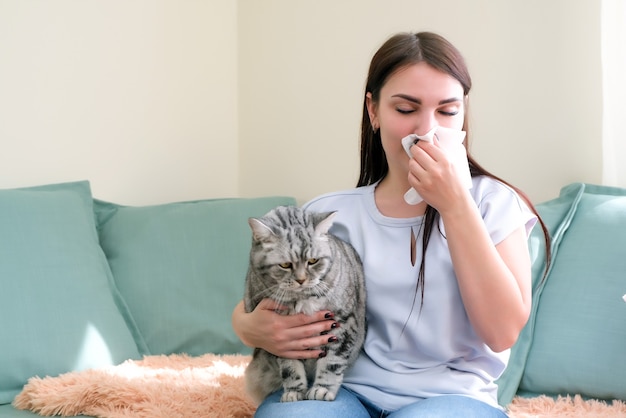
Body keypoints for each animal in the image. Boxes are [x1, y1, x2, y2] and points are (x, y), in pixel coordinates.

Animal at [240, 206, 366, 404]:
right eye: (285, 265)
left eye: (313, 261)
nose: (301, 280)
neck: (301, 298)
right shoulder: (280, 339)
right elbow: (290, 367)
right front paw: (294, 391)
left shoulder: (342, 323)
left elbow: (332, 362)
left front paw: (322, 389)